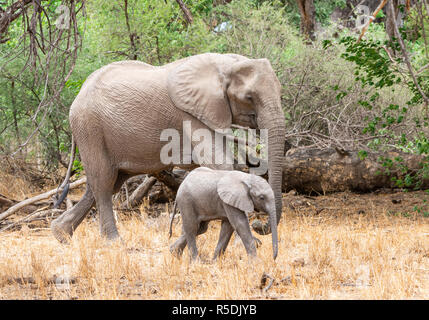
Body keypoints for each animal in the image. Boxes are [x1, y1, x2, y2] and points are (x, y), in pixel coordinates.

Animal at [51, 52, 284, 242]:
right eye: (249, 97)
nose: (260, 225)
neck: (225, 64)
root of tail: (78, 94)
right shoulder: (191, 114)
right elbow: (220, 163)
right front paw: (247, 242)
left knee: (104, 183)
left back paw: (61, 234)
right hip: (89, 128)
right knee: (103, 182)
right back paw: (113, 242)